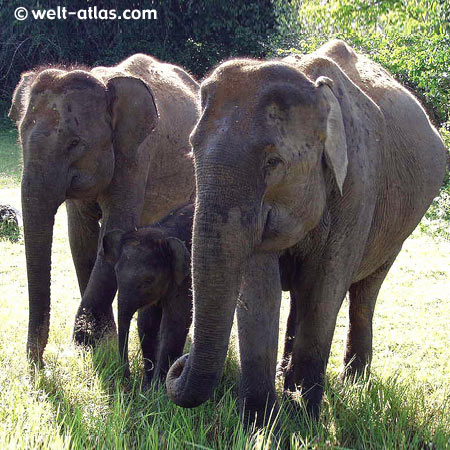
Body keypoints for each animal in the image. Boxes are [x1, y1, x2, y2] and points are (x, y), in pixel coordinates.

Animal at [103, 204, 194, 384]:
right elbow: (146, 322)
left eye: (148, 280)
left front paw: (158, 388)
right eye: (115, 273)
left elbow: (175, 323)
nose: (126, 379)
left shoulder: (186, 280)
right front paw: (148, 384)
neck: (164, 232)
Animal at [165, 39, 446, 426]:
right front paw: (259, 423)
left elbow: (327, 286)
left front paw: (306, 420)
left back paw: (351, 382)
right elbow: (259, 284)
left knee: (365, 290)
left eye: (273, 162)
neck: (312, 87)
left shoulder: (358, 184)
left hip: (400, 225)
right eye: (192, 150)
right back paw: (289, 379)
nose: (176, 365)